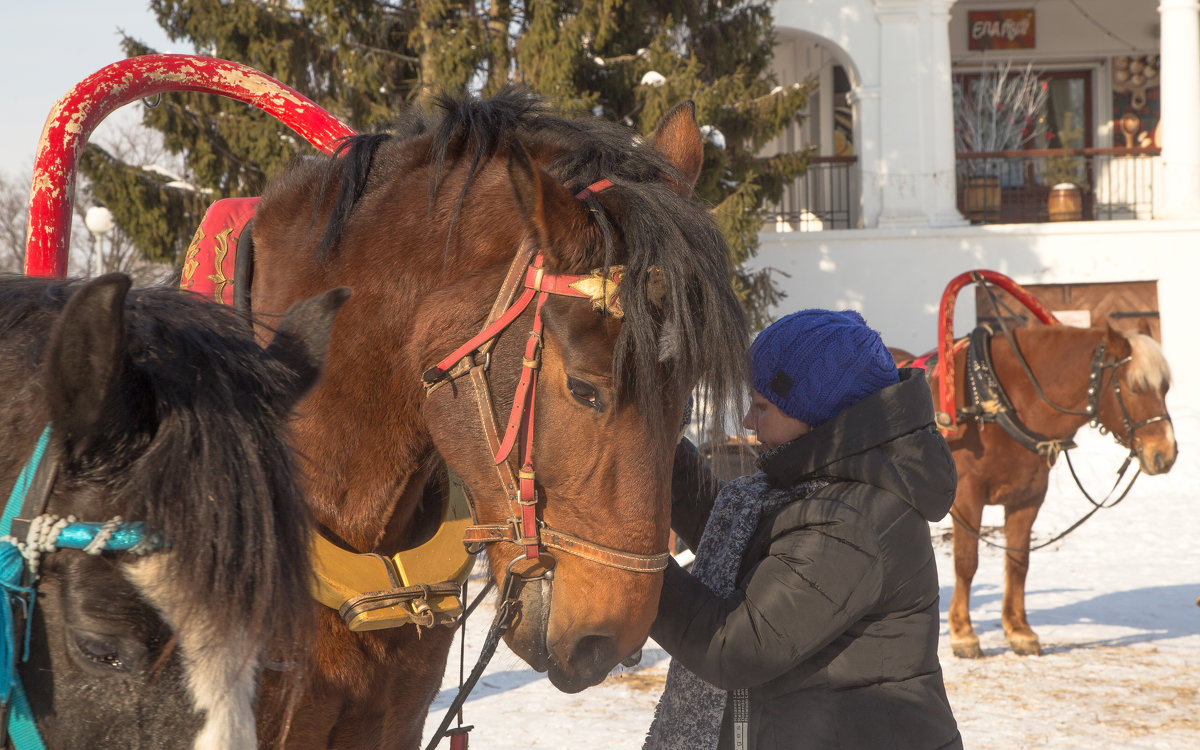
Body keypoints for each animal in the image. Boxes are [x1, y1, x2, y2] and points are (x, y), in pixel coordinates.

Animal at [897, 319, 1176, 652]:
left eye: (1165, 388)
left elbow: (1019, 562)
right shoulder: (966, 498)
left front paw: (1019, 629)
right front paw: (963, 633)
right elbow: (967, 562)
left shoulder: (1027, 499)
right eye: (1135, 388)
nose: (1166, 454)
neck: (995, 403)